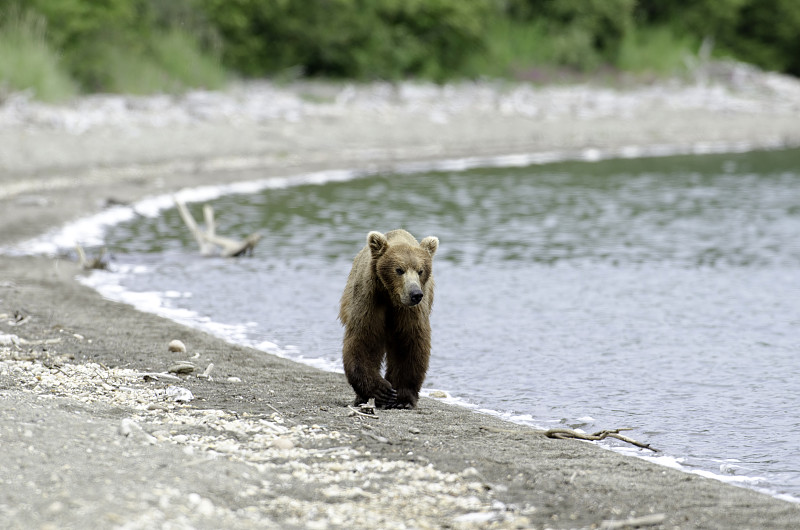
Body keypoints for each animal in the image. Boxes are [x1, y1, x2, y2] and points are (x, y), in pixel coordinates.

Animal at [338, 228, 438, 408]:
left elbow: (410, 343)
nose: (415, 294)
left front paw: (402, 399)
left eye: (420, 270)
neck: (392, 297)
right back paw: (361, 398)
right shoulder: (371, 299)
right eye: (399, 269)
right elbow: (364, 339)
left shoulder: (411, 312)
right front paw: (381, 391)